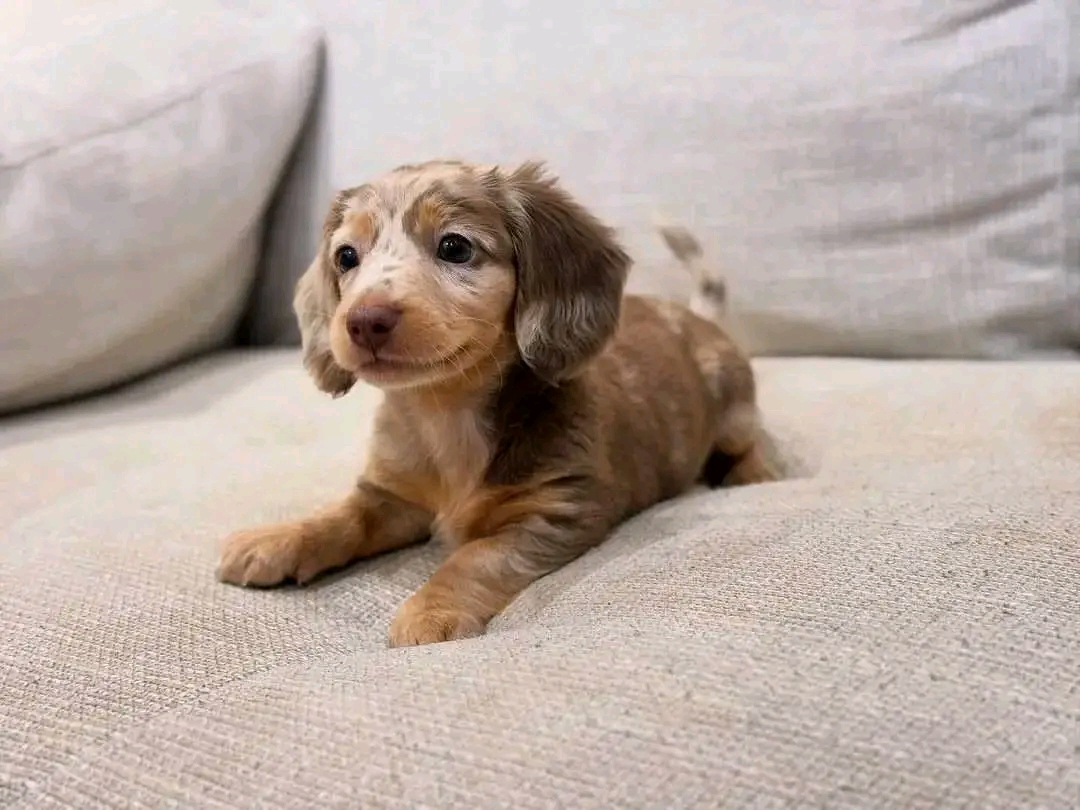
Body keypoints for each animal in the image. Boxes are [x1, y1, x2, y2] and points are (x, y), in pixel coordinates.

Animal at [217, 159, 777, 647]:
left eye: (454, 247)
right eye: (346, 257)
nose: (363, 320)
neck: (445, 411)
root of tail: (697, 317)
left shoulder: (554, 511)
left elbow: (474, 557)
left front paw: (431, 610)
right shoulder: (393, 497)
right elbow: (341, 518)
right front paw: (277, 539)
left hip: (733, 407)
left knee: (753, 439)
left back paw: (754, 472)